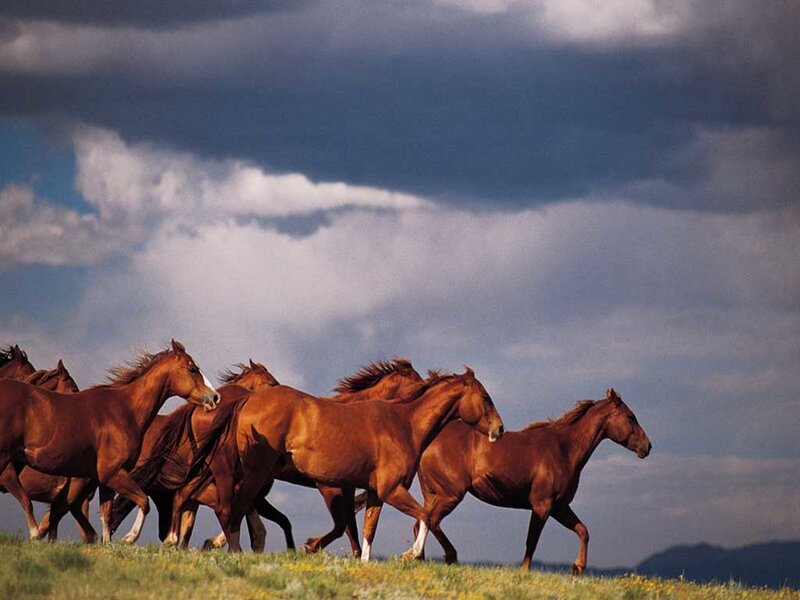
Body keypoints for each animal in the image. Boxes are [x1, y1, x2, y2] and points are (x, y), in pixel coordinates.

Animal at [208, 367, 504, 557]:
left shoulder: (373, 491)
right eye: (485, 398)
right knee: (237, 506)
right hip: (257, 472)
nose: (499, 429)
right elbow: (426, 516)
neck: (403, 425)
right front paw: (411, 554)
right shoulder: (387, 490)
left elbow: (366, 531)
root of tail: (247, 400)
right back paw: (232, 549)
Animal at [410, 388, 651, 572]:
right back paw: (445, 556)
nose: (647, 447)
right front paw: (524, 571)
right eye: (630, 417)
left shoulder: (559, 507)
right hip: (451, 494)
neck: (564, 449)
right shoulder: (542, 505)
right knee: (431, 520)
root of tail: (428, 442)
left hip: (434, 494)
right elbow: (531, 541)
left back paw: (419, 559)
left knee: (421, 521)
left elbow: (583, 531)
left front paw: (577, 568)